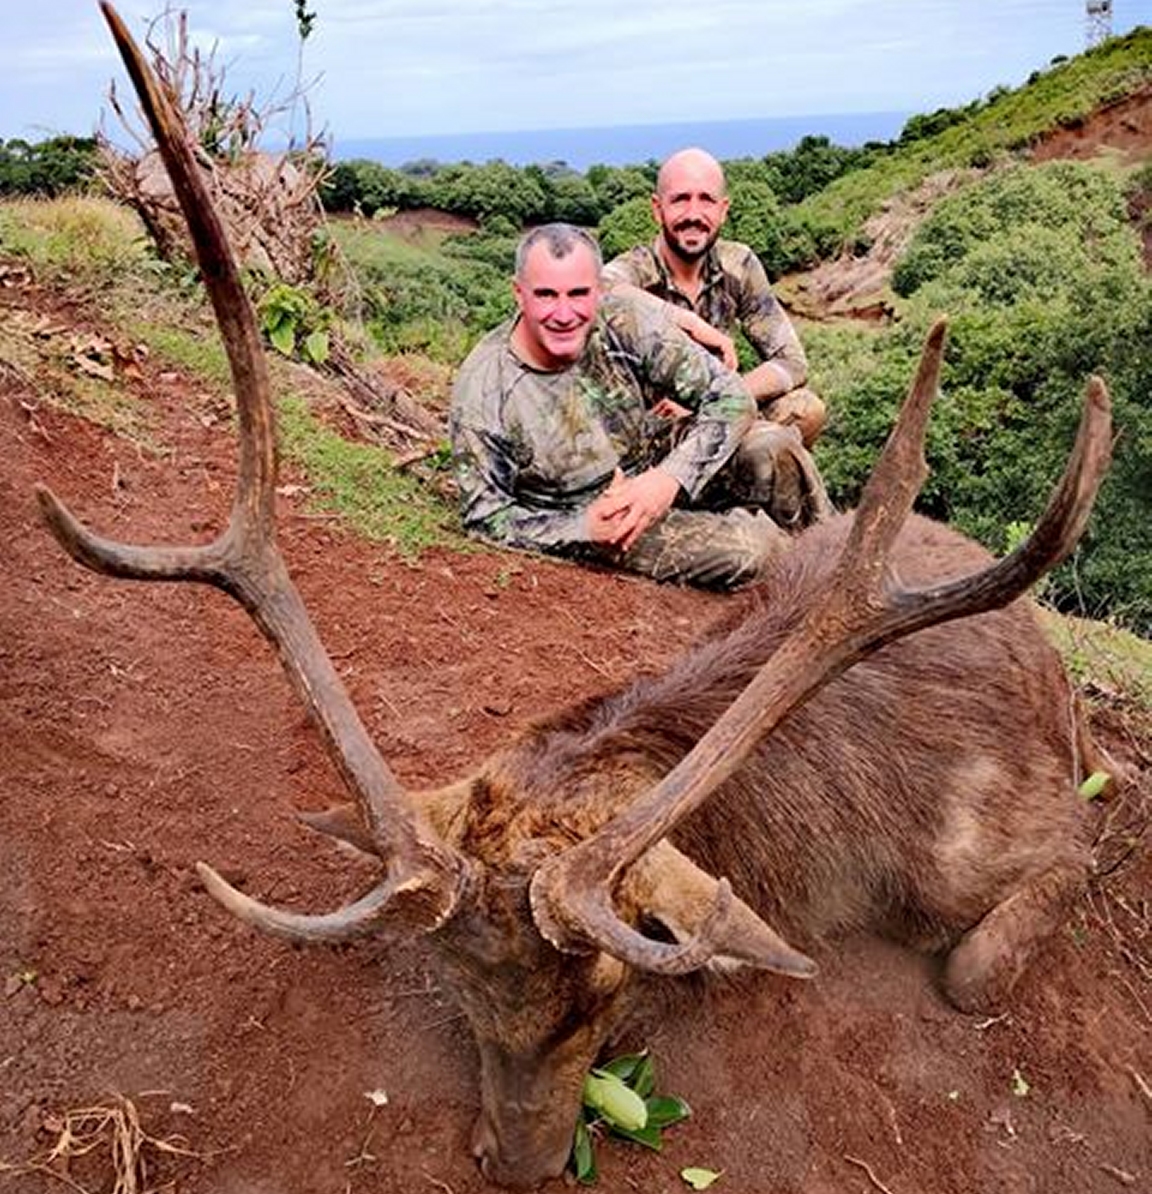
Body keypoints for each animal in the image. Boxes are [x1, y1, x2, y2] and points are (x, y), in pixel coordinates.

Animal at [38, 4, 1112, 1189]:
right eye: (455, 986)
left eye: (610, 990)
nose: (518, 1160)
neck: (837, 866)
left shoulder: (1035, 836)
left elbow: (975, 969)